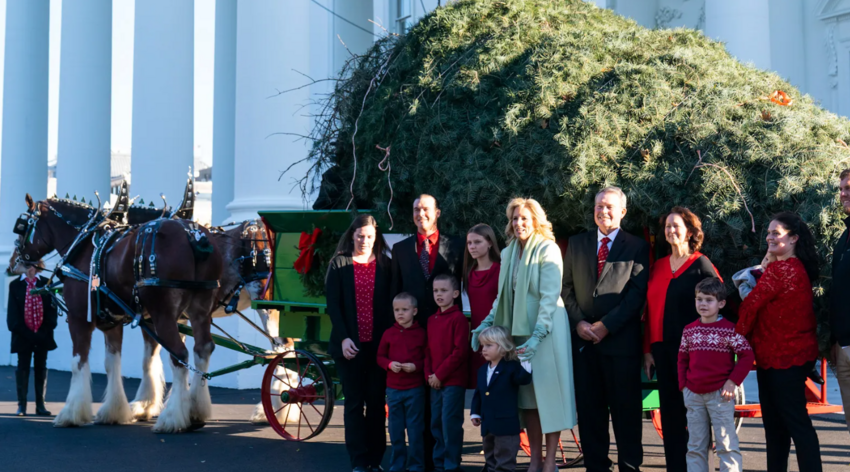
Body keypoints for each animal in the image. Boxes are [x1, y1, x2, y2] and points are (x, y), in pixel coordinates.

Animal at [11, 195, 222, 432]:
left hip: (164, 314)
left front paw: (71, 413)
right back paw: (196, 411)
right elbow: (112, 363)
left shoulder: (78, 318)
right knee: (202, 350)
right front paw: (114, 411)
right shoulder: (113, 322)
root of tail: (192, 235)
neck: (83, 244)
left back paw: (172, 418)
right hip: (199, 311)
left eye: (21, 226)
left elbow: (78, 362)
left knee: (180, 355)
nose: (14, 263)